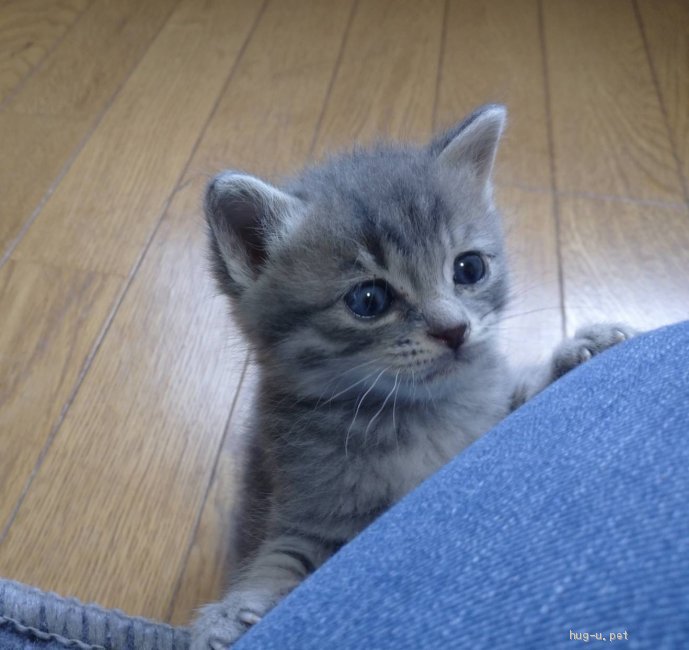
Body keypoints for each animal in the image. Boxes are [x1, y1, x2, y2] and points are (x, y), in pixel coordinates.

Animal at [191, 104, 632, 644]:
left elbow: (518, 393)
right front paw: (235, 610)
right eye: (369, 300)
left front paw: (578, 349)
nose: (454, 329)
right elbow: (281, 557)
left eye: (469, 269)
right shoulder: (306, 512)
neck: (418, 418)